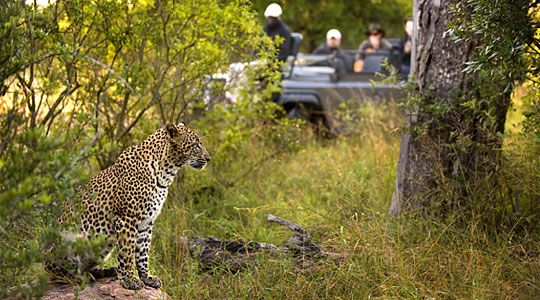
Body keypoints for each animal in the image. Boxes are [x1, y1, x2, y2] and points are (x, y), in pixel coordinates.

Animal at [43, 122, 211, 290]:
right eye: (196, 145)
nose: (208, 158)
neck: (165, 173)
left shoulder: (146, 223)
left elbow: (143, 253)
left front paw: (147, 277)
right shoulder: (127, 218)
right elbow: (127, 252)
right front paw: (129, 280)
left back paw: (106, 271)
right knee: (54, 270)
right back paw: (77, 277)